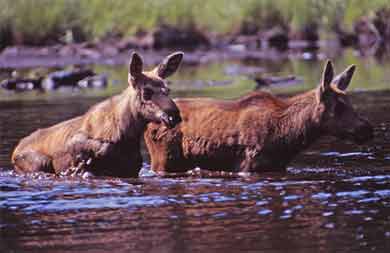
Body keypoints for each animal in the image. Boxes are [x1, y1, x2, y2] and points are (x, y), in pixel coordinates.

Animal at [11, 51, 183, 178]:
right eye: (146, 92)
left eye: (167, 90)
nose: (173, 115)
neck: (127, 135)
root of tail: (15, 150)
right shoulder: (75, 141)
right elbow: (102, 147)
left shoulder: (132, 170)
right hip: (41, 162)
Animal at [145, 59, 374, 174]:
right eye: (339, 106)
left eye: (350, 102)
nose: (367, 129)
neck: (289, 136)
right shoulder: (248, 165)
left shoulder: (277, 166)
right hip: (163, 160)